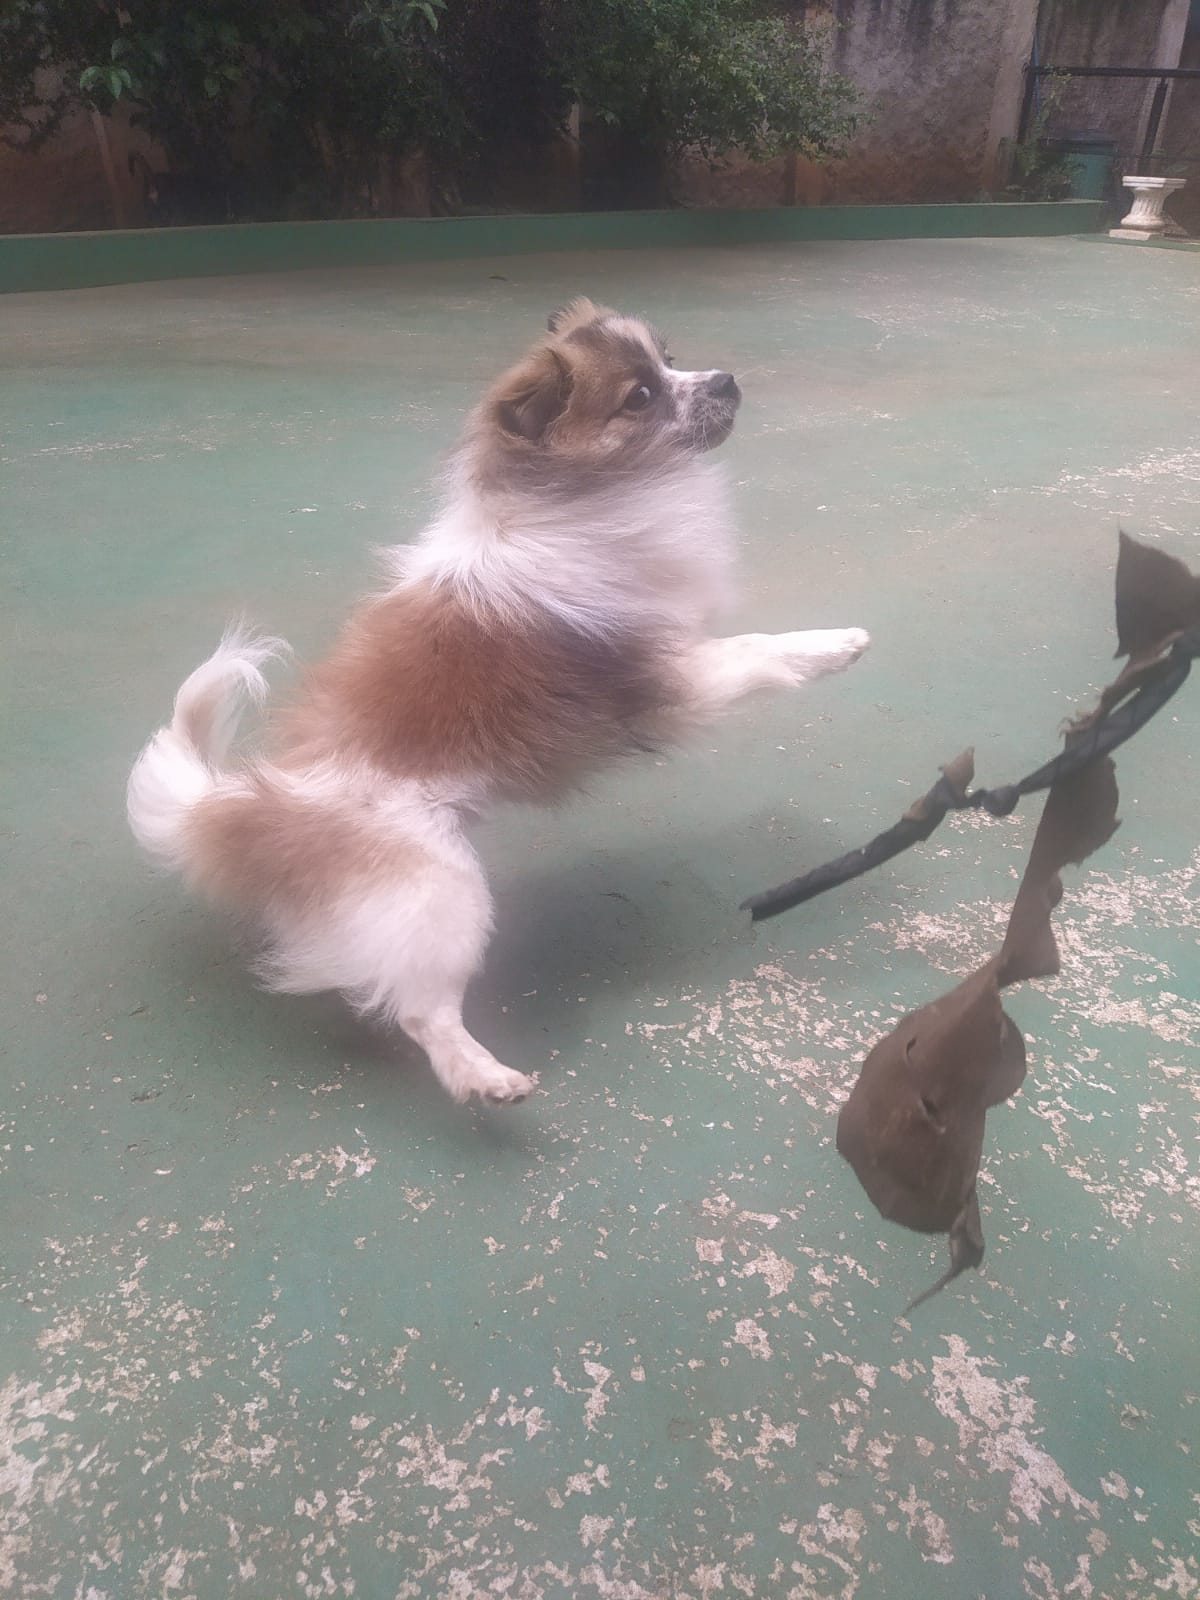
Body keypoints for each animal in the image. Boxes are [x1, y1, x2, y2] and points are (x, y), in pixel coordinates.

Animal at [127, 299, 869, 1106]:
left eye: (671, 359)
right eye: (639, 398)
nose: (727, 380)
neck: (586, 502)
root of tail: (258, 810)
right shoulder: (671, 675)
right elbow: (761, 650)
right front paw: (839, 644)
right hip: (444, 894)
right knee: (422, 1013)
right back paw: (485, 1079)